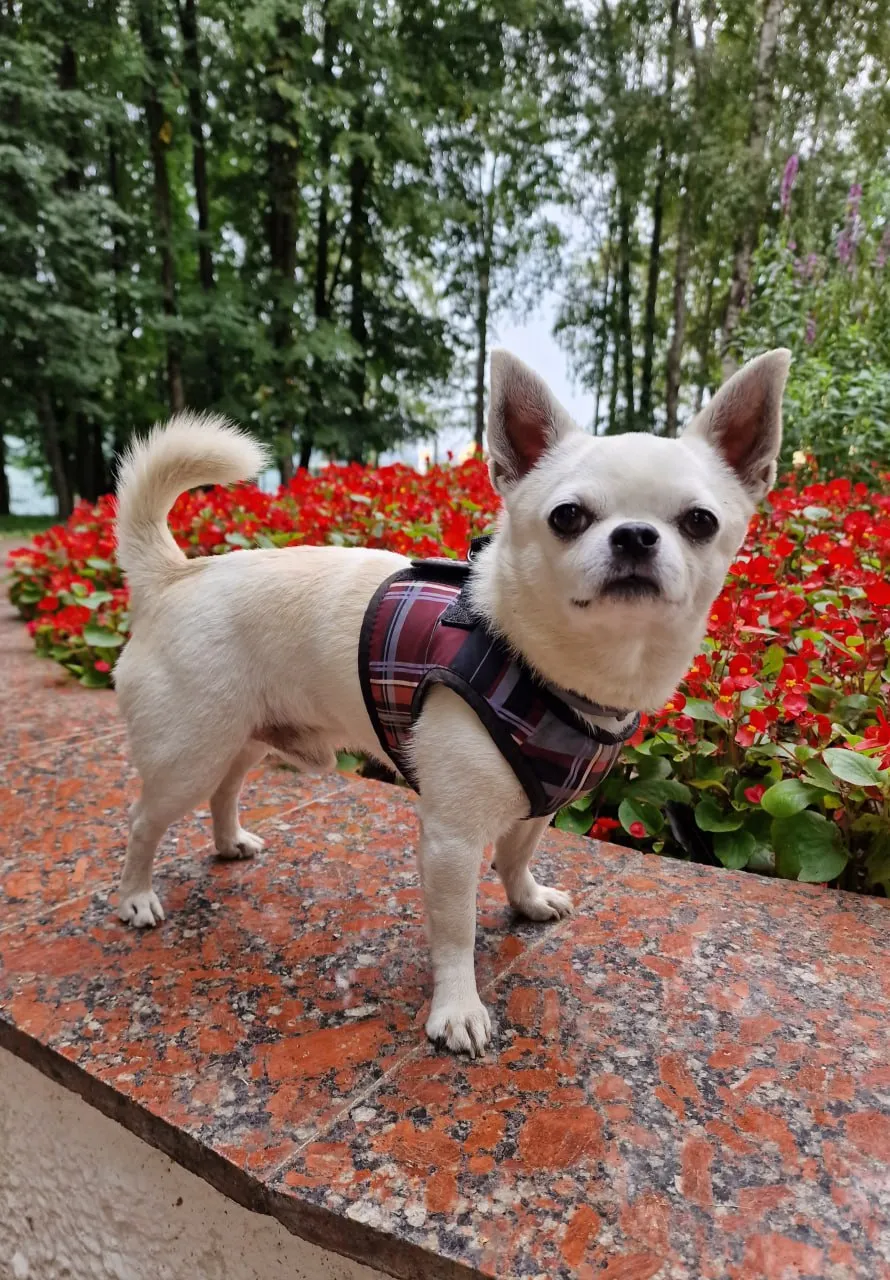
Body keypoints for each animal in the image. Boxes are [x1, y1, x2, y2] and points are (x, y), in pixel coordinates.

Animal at [113, 348, 790, 1056]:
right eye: (567, 516)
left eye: (700, 522)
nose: (635, 536)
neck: (558, 676)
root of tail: (175, 576)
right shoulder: (451, 840)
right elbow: (456, 929)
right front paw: (459, 1009)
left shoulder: (537, 806)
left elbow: (516, 858)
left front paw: (527, 901)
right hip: (188, 753)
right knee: (143, 821)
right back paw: (136, 898)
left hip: (240, 738)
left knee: (225, 790)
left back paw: (228, 842)